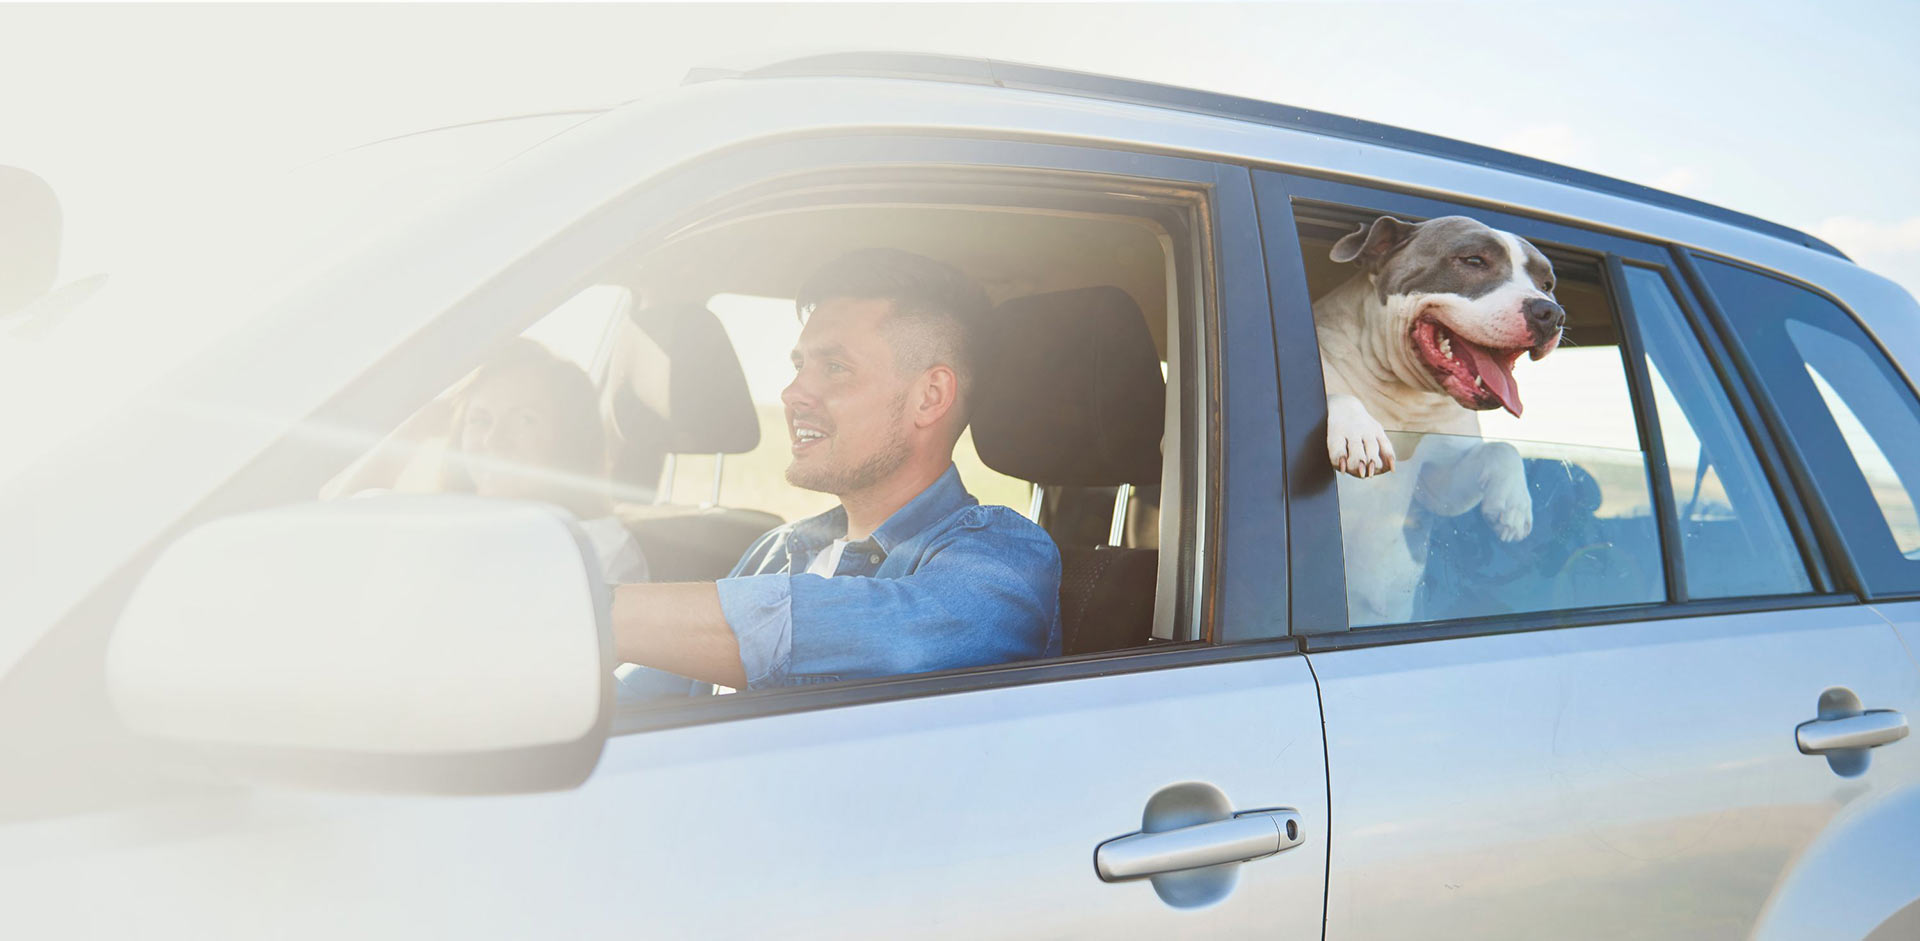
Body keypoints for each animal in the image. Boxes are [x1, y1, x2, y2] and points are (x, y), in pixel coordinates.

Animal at [1313, 214, 1566, 626]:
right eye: (1474, 260)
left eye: (1547, 285)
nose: (1551, 313)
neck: (1406, 396)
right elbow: (1338, 395)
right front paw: (1360, 434)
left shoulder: (1437, 484)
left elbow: (1502, 450)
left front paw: (1513, 504)